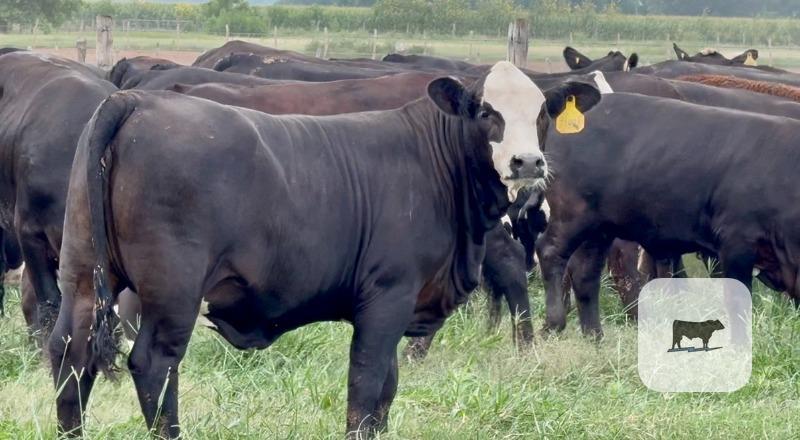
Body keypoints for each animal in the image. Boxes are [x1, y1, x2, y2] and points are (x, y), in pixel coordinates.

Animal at [50, 62, 601, 438]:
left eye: (543, 112)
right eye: (488, 112)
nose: (527, 161)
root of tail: (137, 101)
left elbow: (386, 391)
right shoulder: (387, 296)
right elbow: (367, 385)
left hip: (81, 273)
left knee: (69, 356)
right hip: (172, 291)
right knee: (154, 364)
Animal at [537, 91, 800, 339]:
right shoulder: (736, 243)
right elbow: (738, 302)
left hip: (599, 229)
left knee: (585, 274)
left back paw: (595, 337)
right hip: (571, 215)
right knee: (550, 253)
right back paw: (554, 324)